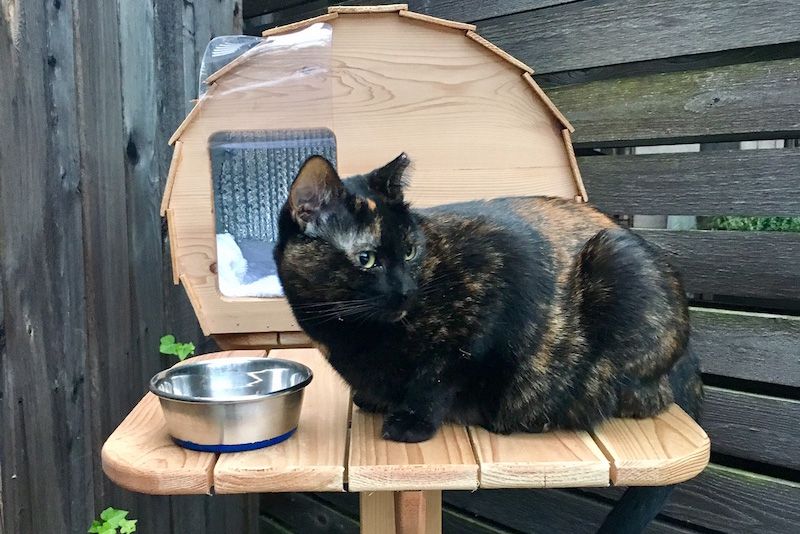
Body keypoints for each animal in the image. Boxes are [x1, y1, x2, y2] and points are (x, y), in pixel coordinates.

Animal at [274, 152, 700, 444]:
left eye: (410, 251)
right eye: (366, 259)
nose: (407, 291)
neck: (347, 331)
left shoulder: (494, 287)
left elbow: (438, 376)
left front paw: (411, 420)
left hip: (617, 258)